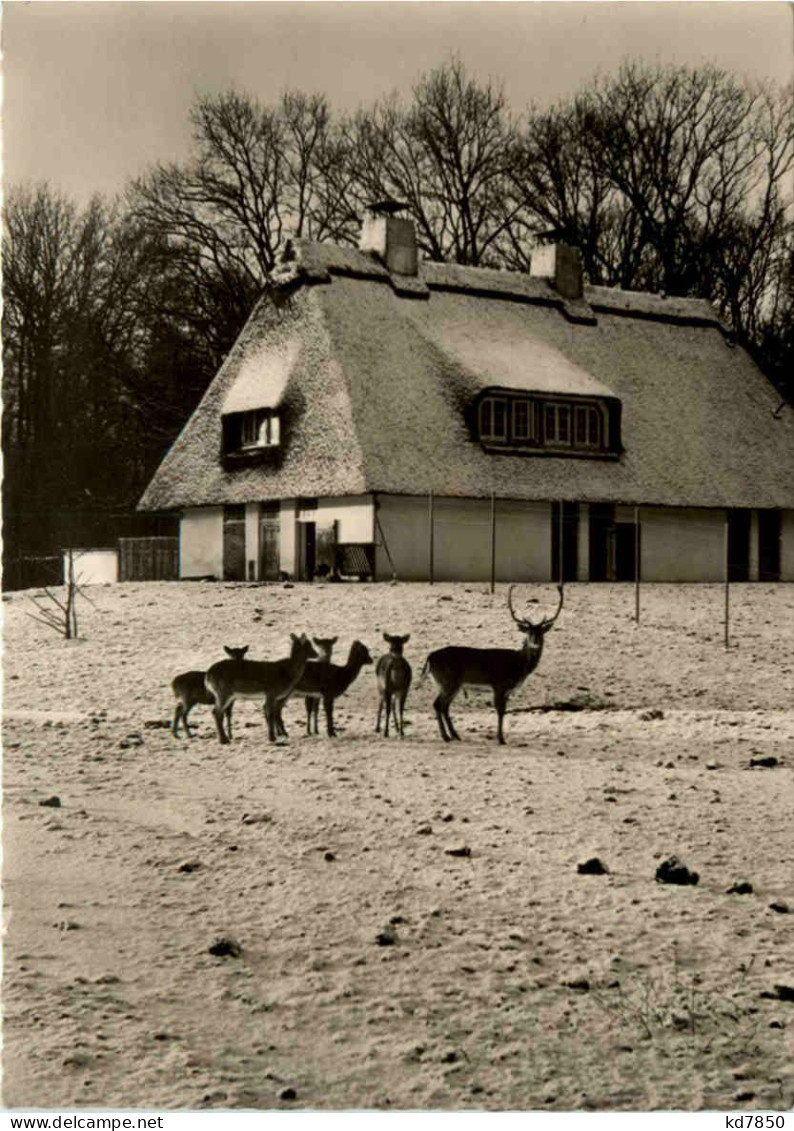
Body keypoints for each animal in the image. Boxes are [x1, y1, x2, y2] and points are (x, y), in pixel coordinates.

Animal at [425, 588, 563, 746]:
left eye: (541, 633)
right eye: (528, 632)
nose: (535, 643)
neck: (518, 664)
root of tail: (430, 657)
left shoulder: (507, 690)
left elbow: (504, 710)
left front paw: (501, 737)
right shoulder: (499, 685)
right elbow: (500, 711)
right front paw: (501, 739)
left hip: (452, 684)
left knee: (444, 706)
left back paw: (455, 735)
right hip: (448, 681)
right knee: (437, 704)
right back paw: (446, 737)